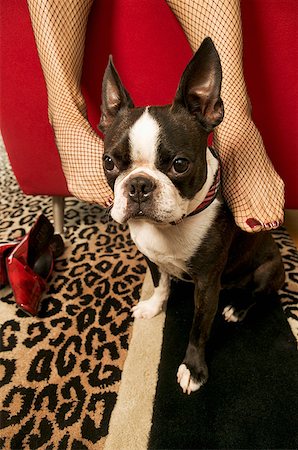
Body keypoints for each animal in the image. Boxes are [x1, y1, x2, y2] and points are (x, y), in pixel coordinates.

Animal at [99, 39, 286, 398]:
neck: (169, 227)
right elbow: (161, 285)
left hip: (269, 269)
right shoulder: (152, 259)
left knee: (258, 294)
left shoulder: (207, 284)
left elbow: (199, 329)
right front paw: (154, 306)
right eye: (110, 162)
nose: (138, 185)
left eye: (180, 164)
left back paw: (237, 308)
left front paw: (194, 369)